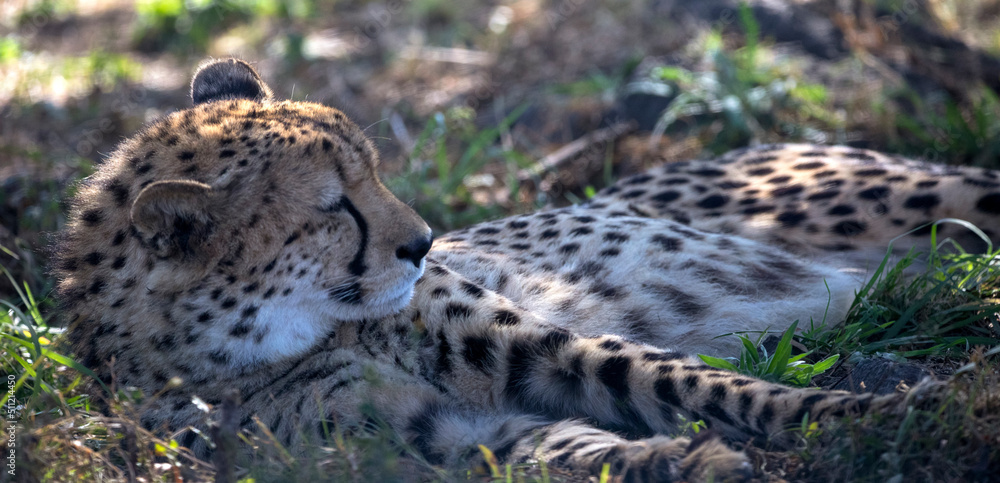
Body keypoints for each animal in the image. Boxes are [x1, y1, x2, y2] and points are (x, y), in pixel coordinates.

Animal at [53, 58, 998, 481]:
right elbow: (546, 446)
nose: (423, 241)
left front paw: (871, 414)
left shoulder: (531, 342)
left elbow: (693, 381)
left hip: (935, 199)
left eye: (373, 171)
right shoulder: (412, 434)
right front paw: (674, 460)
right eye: (332, 204)